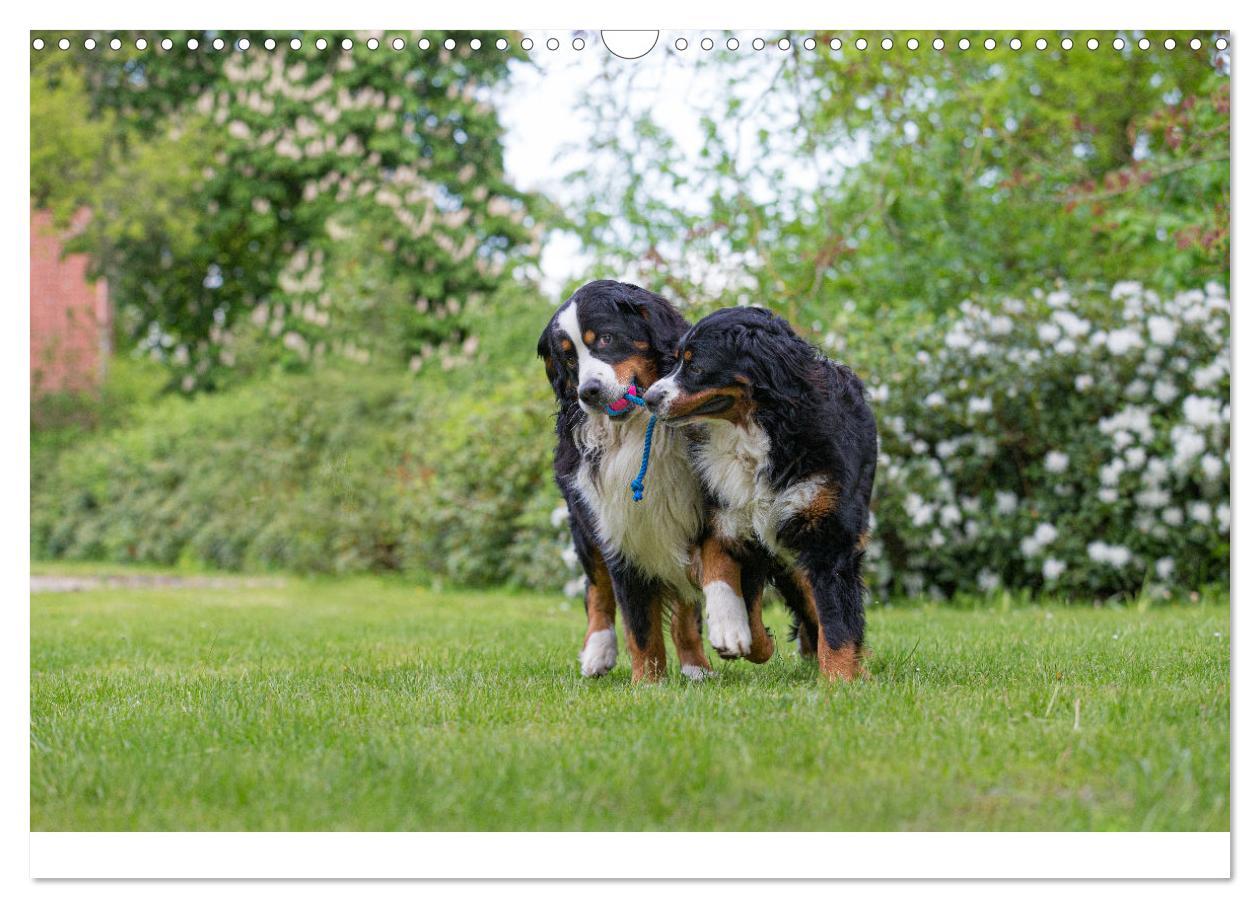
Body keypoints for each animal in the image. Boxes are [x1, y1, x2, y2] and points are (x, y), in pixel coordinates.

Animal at [534, 279, 761, 685]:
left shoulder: (707, 508)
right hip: (585, 524)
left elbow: (712, 571)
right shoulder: (619, 527)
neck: (638, 433)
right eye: (570, 360)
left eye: (606, 339)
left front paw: (724, 629)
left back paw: (694, 666)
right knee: (597, 589)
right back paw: (598, 651)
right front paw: (649, 683)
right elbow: (638, 622)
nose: (588, 392)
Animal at [645, 304, 882, 680]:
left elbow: (837, 623)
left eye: (695, 365)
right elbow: (738, 596)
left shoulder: (828, 539)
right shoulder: (730, 522)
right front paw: (746, 638)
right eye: (676, 360)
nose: (649, 398)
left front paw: (841, 679)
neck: (756, 434)